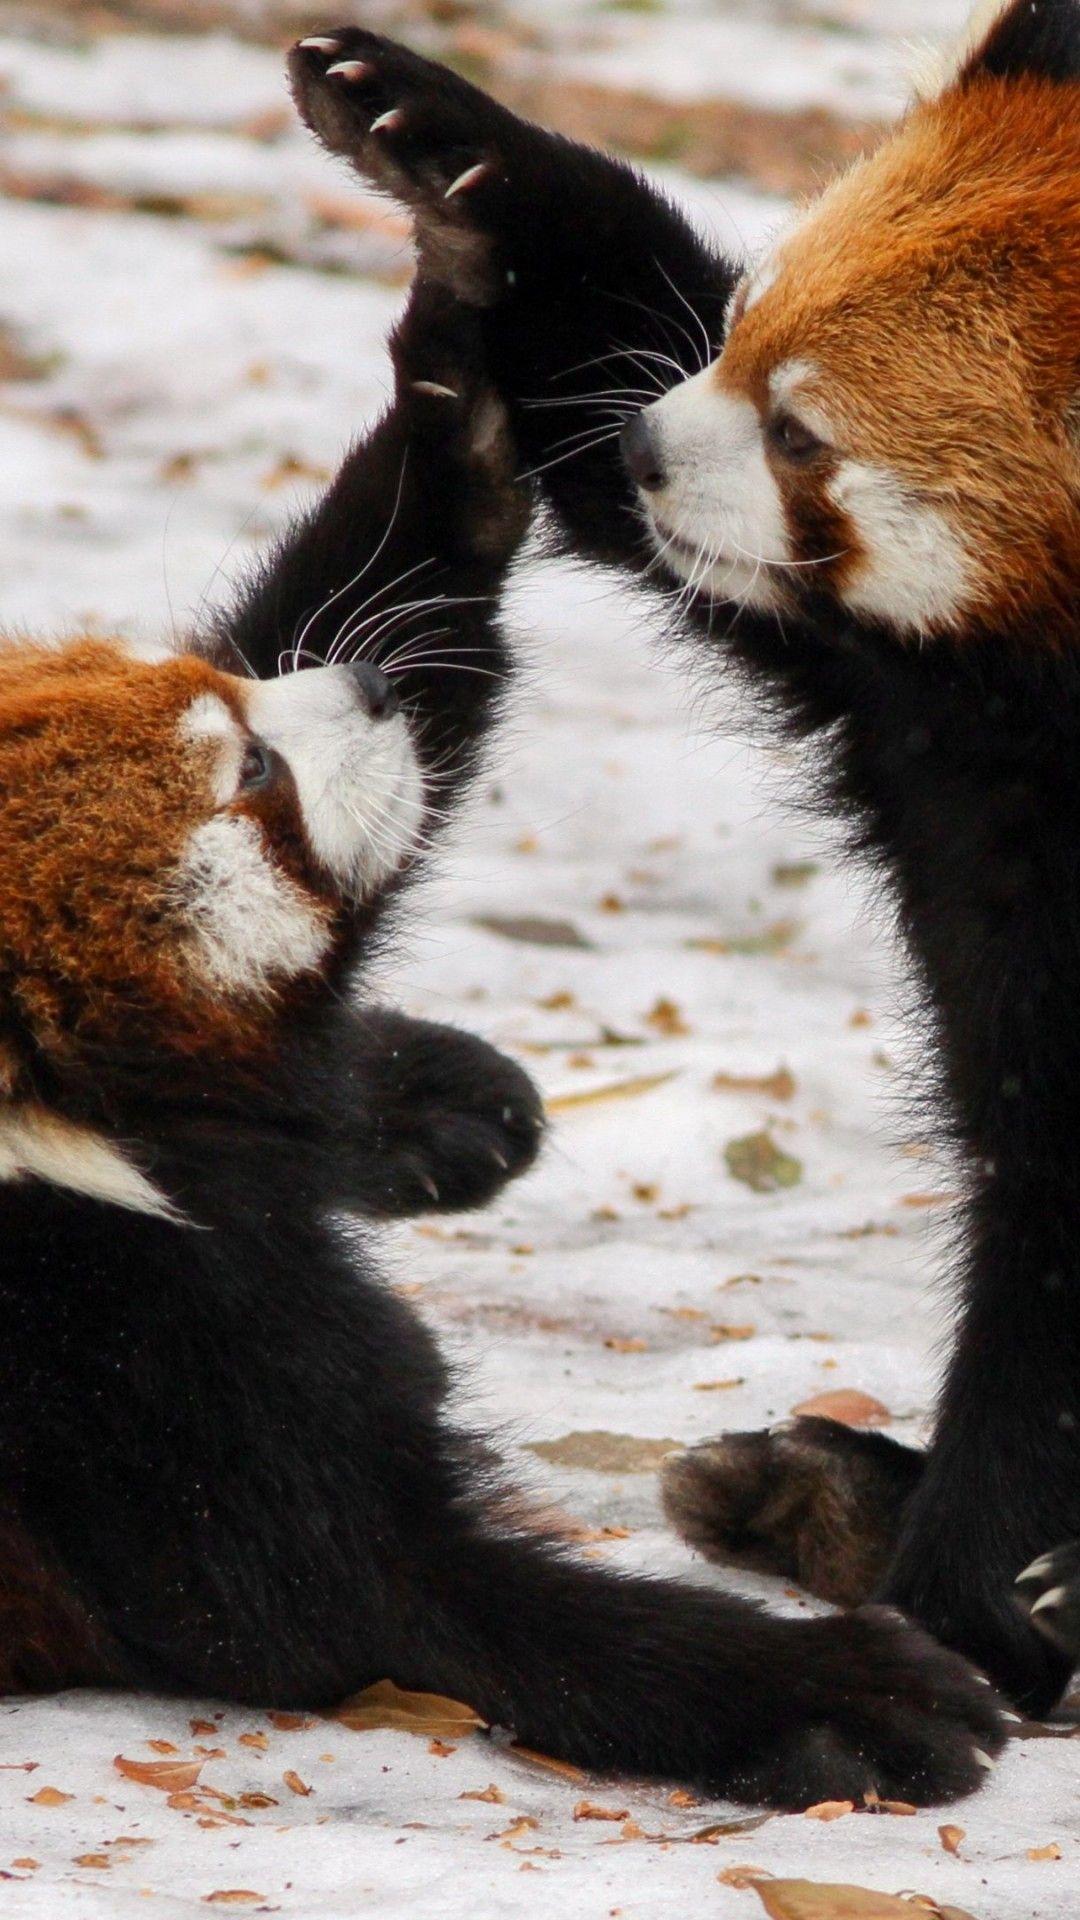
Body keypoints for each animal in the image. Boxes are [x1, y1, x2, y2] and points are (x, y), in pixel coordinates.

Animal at [0, 268, 1001, 1803]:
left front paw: (453, 414)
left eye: (217, 693)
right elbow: (399, 1602)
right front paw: (839, 1692)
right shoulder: (104, 1367)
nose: (361, 690)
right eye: (254, 771)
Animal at [288, 0, 1080, 1716]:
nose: (652, 448)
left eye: (801, 432)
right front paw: (446, 142)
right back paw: (820, 1487)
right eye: (747, 323)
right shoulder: (915, 710)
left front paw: (981, 1597)